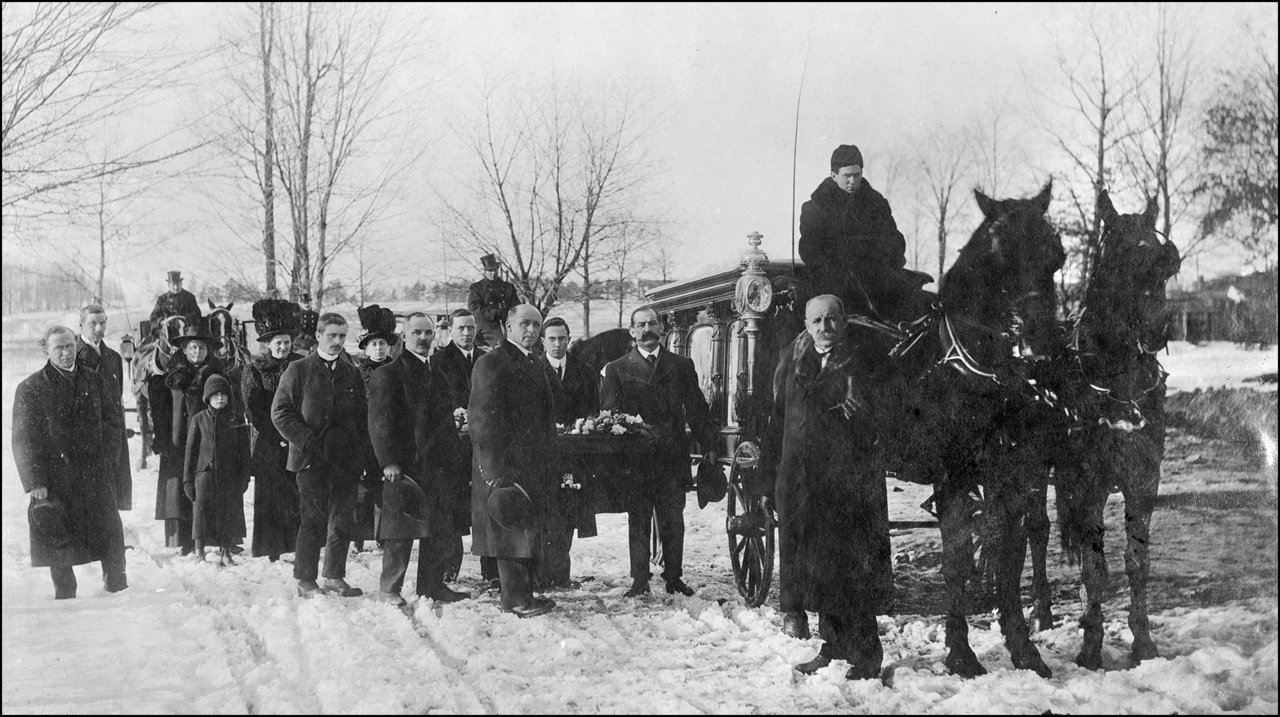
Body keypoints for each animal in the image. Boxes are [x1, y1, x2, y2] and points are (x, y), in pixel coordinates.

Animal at [1039, 189, 1177, 665]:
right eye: (1118, 257)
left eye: (1165, 262)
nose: (1159, 327)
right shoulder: (1086, 483)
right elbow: (1094, 568)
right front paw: (1090, 647)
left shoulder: (1143, 480)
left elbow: (1137, 563)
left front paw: (1144, 643)